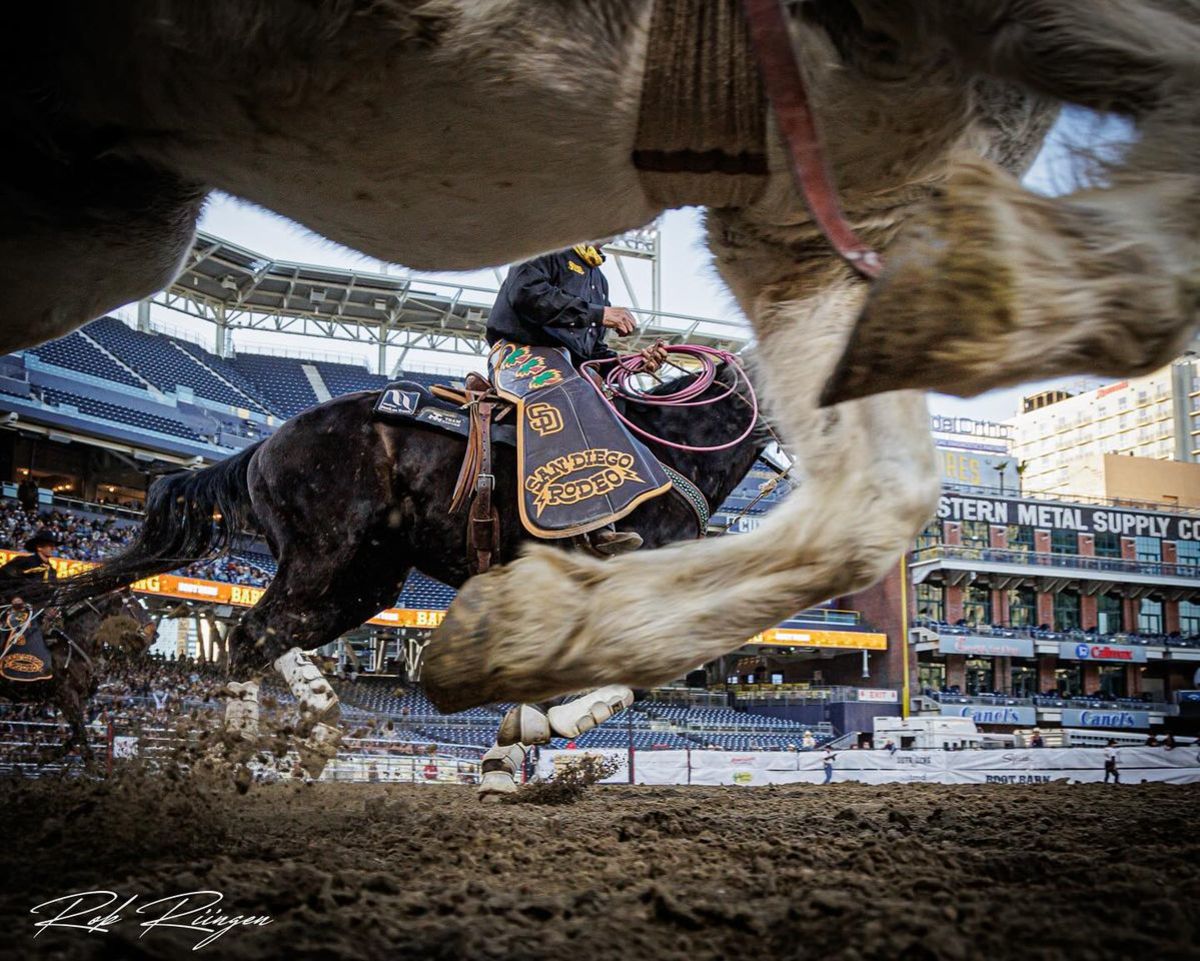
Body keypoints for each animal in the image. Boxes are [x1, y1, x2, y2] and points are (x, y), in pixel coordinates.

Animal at [0, 587, 157, 763]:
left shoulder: (79, 700)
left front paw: (45, 756)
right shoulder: (65, 696)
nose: (154, 633)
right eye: (135, 606)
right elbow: (81, 735)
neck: (72, 645)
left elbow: (77, 735)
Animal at [54, 359, 758, 695]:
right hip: (318, 559)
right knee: (252, 633)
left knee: (270, 638)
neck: (669, 442)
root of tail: (263, 445)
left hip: (366, 583)